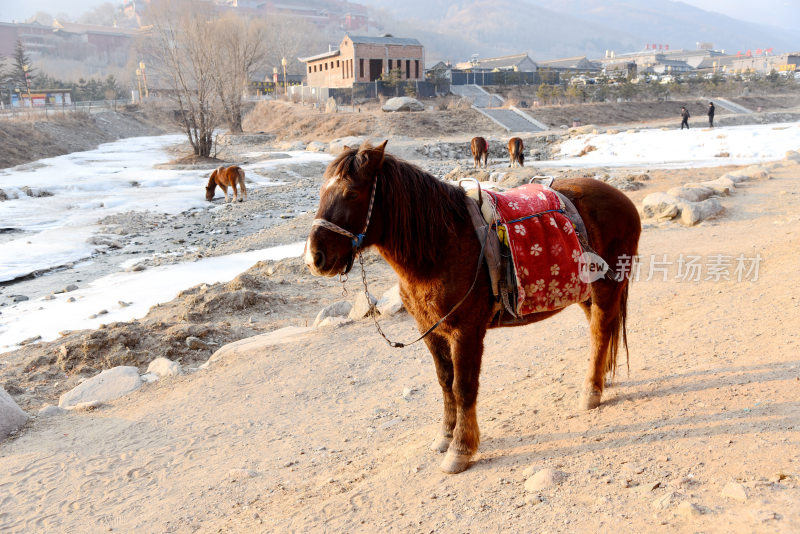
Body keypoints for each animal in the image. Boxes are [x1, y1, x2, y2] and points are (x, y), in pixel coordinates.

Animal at [304, 143, 640, 478]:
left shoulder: (465, 332)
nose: (315, 258)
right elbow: (445, 382)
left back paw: (591, 393)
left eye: (351, 193)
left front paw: (460, 450)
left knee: (600, 332)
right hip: (586, 293)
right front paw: (445, 436)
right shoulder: (431, 332)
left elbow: (463, 387)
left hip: (607, 288)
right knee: (601, 331)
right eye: (321, 192)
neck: (443, 246)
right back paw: (600, 379)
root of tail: (622, 199)